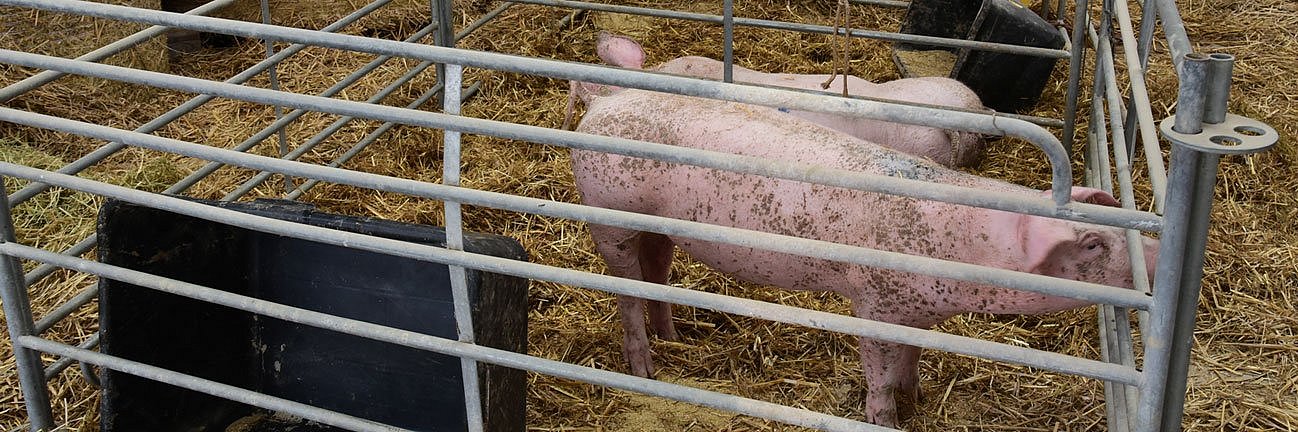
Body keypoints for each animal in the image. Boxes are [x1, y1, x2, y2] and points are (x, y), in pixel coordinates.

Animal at [568, 84, 1157, 422]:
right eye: (1092, 245)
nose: (1152, 253)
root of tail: (601, 103)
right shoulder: (872, 302)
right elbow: (879, 372)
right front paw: (886, 417)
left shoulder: (920, 311)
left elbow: (912, 359)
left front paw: (917, 402)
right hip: (609, 217)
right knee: (624, 292)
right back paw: (645, 370)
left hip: (657, 228)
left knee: (655, 273)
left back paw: (676, 339)